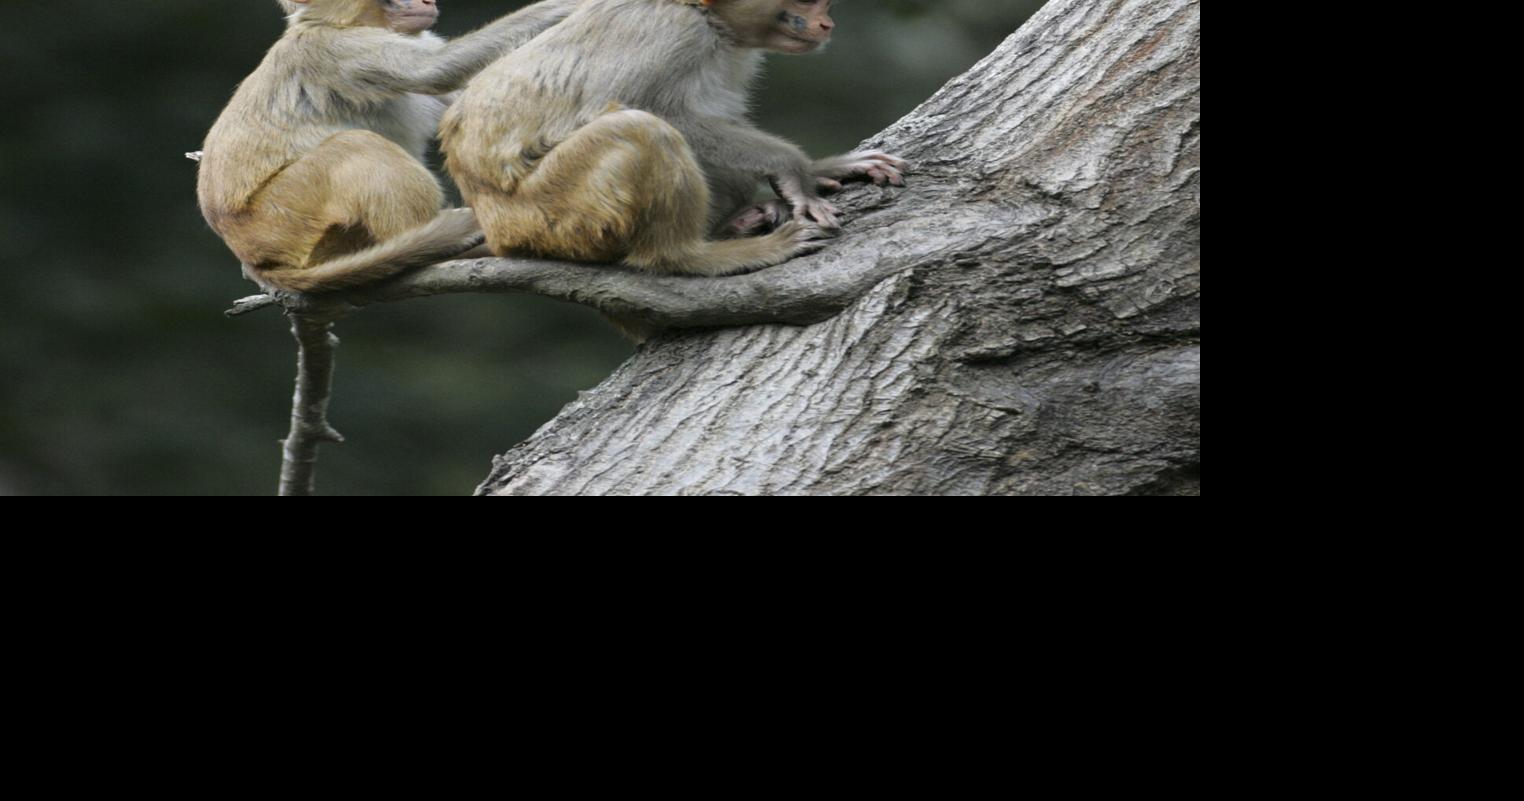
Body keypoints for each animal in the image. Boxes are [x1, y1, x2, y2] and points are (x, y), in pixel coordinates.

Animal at [197, 0, 582, 294]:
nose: (425, 0)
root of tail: (252, 254)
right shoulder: (340, 51)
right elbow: (435, 70)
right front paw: (559, 8)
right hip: (285, 215)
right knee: (356, 145)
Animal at [438, 0, 908, 282]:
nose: (826, 22)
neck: (706, 17)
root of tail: (498, 225)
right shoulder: (675, 32)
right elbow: (642, 106)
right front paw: (795, 167)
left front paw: (822, 167)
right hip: (553, 213)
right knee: (641, 129)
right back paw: (690, 256)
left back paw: (734, 223)